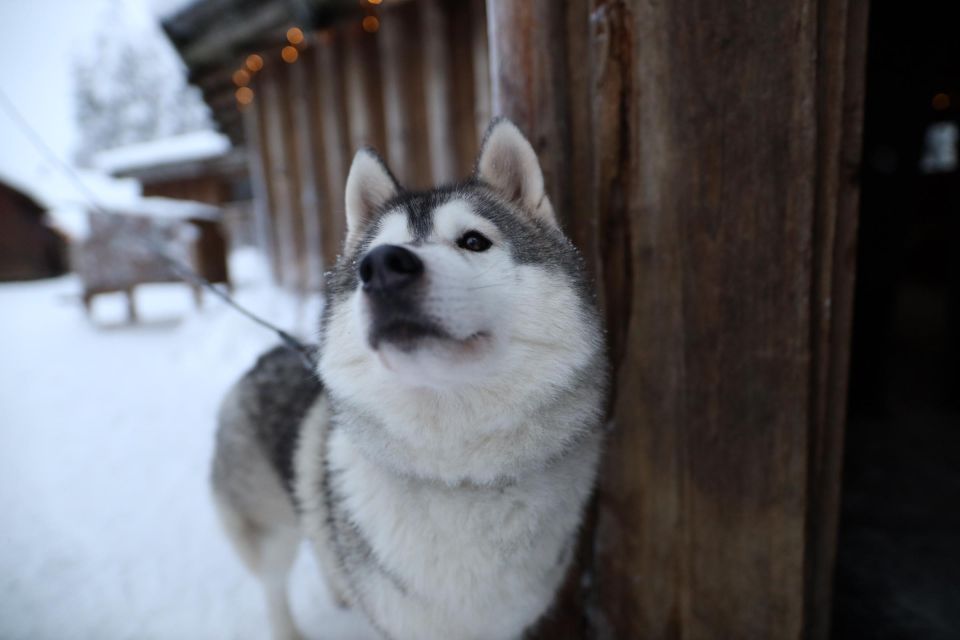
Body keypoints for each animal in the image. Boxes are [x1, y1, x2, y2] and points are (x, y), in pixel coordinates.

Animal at [215, 120, 612, 640]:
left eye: (474, 241)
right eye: (368, 258)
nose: (382, 267)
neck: (457, 474)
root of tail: (272, 352)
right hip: (269, 530)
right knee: (274, 584)